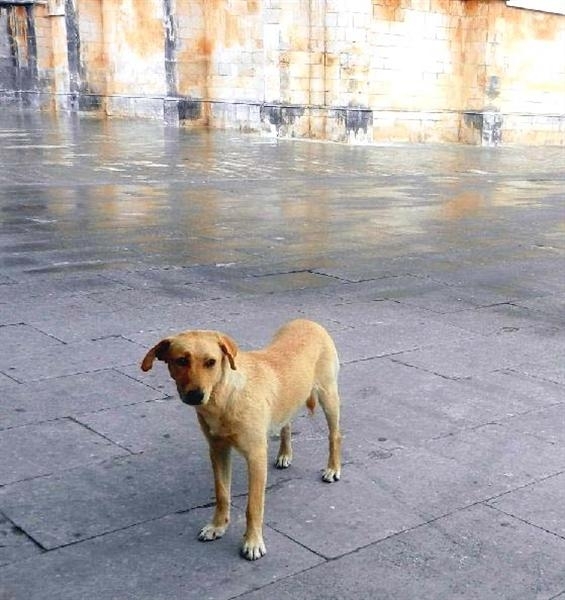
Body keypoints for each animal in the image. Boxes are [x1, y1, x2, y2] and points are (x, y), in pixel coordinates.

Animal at [141, 322, 342, 560]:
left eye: (211, 362)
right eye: (181, 360)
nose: (195, 395)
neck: (224, 398)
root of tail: (309, 321)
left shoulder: (256, 456)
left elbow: (253, 506)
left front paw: (253, 542)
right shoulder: (218, 450)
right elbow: (222, 494)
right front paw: (217, 526)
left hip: (329, 396)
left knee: (334, 435)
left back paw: (333, 468)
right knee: (286, 424)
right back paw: (285, 454)